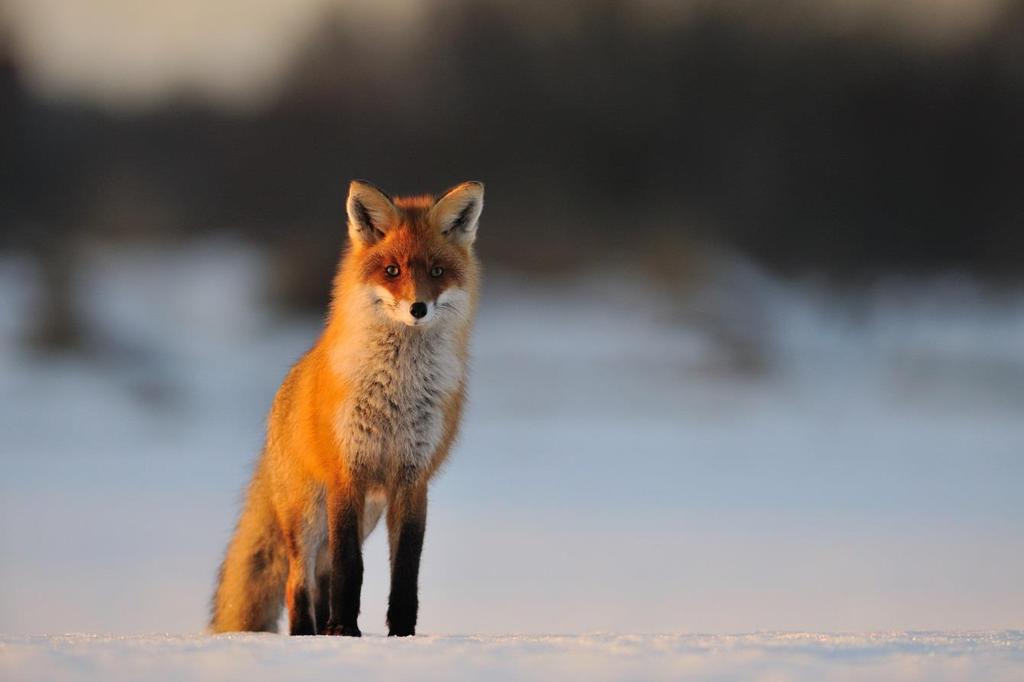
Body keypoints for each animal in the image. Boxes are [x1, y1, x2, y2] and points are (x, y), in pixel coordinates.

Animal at [208, 178, 483, 634]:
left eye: (436, 272)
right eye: (392, 271)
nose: (418, 308)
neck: (397, 393)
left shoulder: (413, 479)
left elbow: (405, 569)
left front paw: (400, 633)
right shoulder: (347, 473)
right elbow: (350, 568)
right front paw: (344, 633)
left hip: (368, 513)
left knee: (321, 576)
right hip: (308, 515)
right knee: (299, 581)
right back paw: (308, 634)